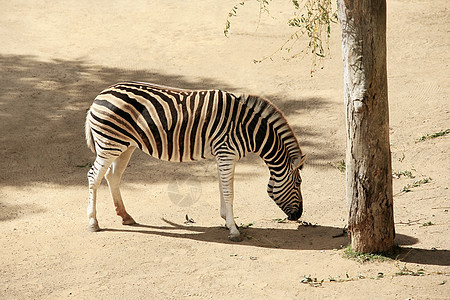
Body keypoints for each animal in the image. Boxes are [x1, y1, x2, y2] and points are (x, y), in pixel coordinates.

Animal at [84, 81, 306, 241]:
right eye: (298, 183)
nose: (298, 216)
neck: (248, 129)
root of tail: (99, 96)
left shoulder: (222, 155)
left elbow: (222, 187)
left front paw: (226, 220)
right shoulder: (227, 152)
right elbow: (229, 192)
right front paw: (234, 230)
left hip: (125, 145)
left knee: (113, 177)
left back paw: (125, 216)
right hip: (109, 144)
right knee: (94, 176)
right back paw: (93, 223)